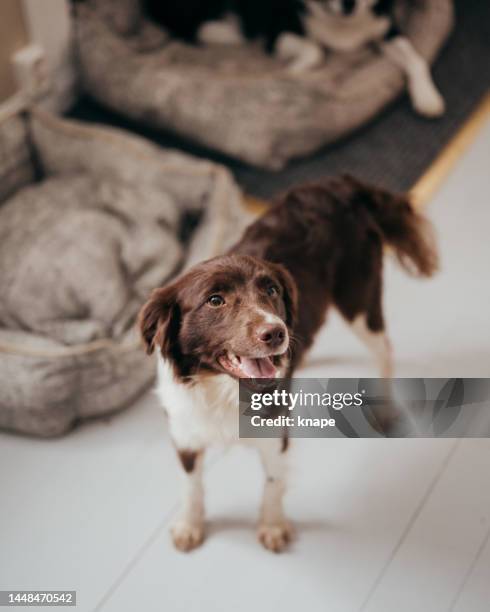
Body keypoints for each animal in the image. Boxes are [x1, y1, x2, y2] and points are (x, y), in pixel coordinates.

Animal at [140, 175, 438, 552]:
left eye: (271, 290)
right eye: (215, 300)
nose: (276, 333)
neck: (221, 388)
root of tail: (340, 184)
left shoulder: (273, 434)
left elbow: (273, 482)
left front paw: (272, 526)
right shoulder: (185, 433)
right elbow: (190, 486)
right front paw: (190, 525)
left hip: (358, 299)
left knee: (384, 349)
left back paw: (383, 409)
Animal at [144, 0, 446, 117]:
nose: (349, 4)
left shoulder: (386, 29)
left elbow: (416, 58)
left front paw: (427, 97)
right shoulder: (277, 32)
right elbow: (315, 50)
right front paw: (293, 73)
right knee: (188, 27)